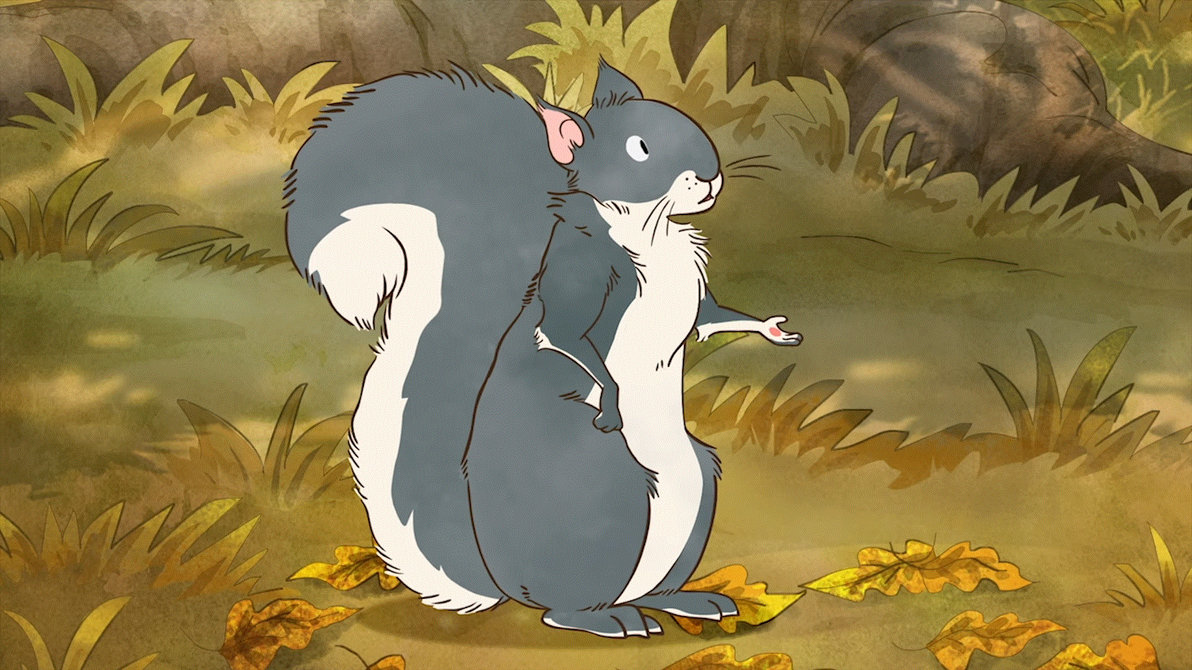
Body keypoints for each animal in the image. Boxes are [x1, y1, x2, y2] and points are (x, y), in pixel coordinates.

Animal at [284, 61, 802, 638]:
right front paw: (613, 401)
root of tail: (501, 583)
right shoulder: (580, 275)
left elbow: (711, 316)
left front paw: (772, 328)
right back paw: (609, 618)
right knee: (563, 606)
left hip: (700, 478)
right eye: (640, 148)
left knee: (652, 584)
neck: (649, 233)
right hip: (601, 490)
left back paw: (688, 601)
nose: (710, 177)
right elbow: (568, 336)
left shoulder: (693, 291)